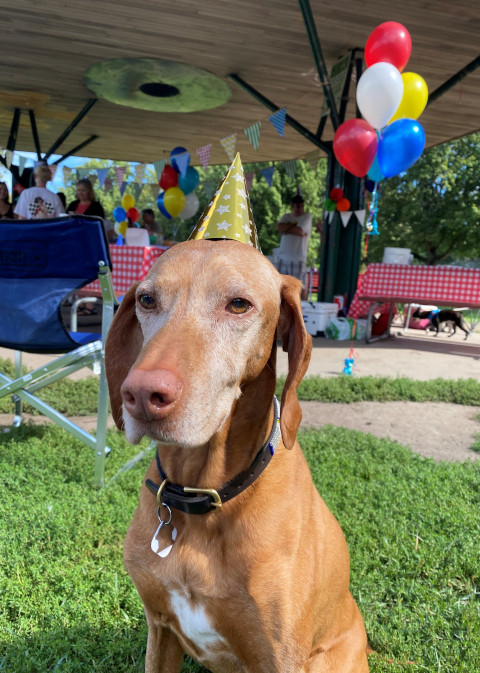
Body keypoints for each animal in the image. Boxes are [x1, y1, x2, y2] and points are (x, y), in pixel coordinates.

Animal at [105, 240, 370, 672]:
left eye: (239, 304)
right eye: (146, 299)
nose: (141, 394)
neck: (202, 492)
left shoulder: (278, 655)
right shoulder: (159, 628)